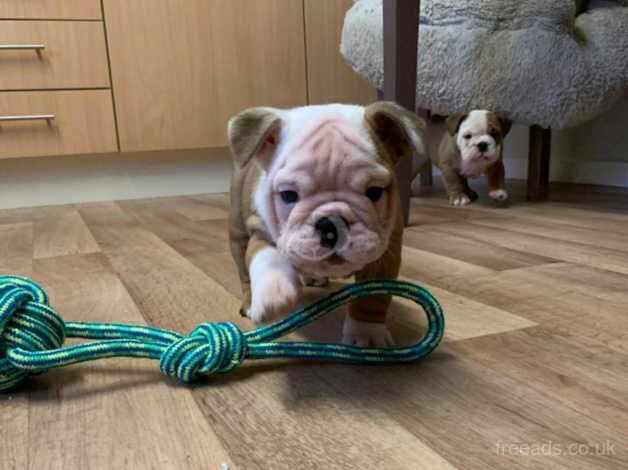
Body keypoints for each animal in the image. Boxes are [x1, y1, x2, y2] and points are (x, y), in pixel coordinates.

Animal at [228, 102, 424, 346]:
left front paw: (366, 333)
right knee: (243, 270)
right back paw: (250, 300)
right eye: (288, 195)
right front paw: (274, 292)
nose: (331, 223)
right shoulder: (260, 229)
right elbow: (267, 256)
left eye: (374, 192)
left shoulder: (385, 253)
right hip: (237, 232)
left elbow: (372, 296)